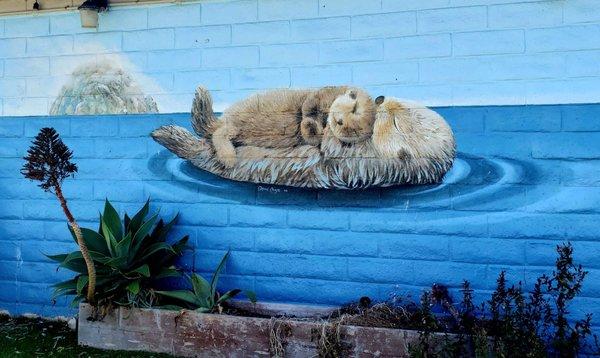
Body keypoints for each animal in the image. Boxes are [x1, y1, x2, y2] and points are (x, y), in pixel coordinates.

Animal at [151, 86, 454, 190]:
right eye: (399, 106)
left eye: (394, 123)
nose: (382, 99)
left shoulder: (363, 163)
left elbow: (333, 149)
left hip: (214, 152)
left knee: (208, 138)